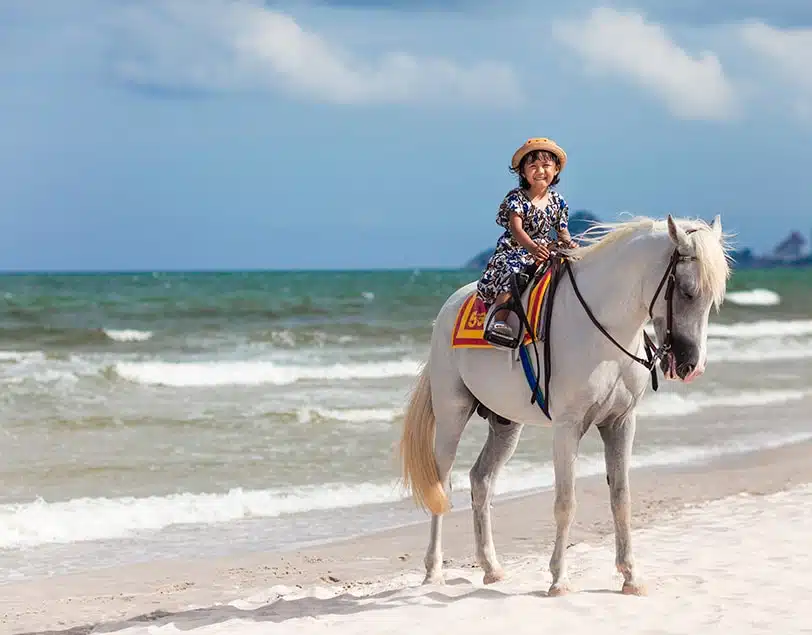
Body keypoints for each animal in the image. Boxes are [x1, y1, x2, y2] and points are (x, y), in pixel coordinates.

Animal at [398, 216, 728, 600]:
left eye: (713, 298)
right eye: (687, 291)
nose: (692, 366)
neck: (603, 327)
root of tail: (449, 307)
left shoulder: (620, 423)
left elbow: (622, 498)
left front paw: (631, 576)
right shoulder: (568, 427)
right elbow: (565, 503)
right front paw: (559, 580)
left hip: (505, 424)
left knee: (481, 481)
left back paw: (492, 568)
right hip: (452, 414)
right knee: (442, 486)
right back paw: (433, 572)